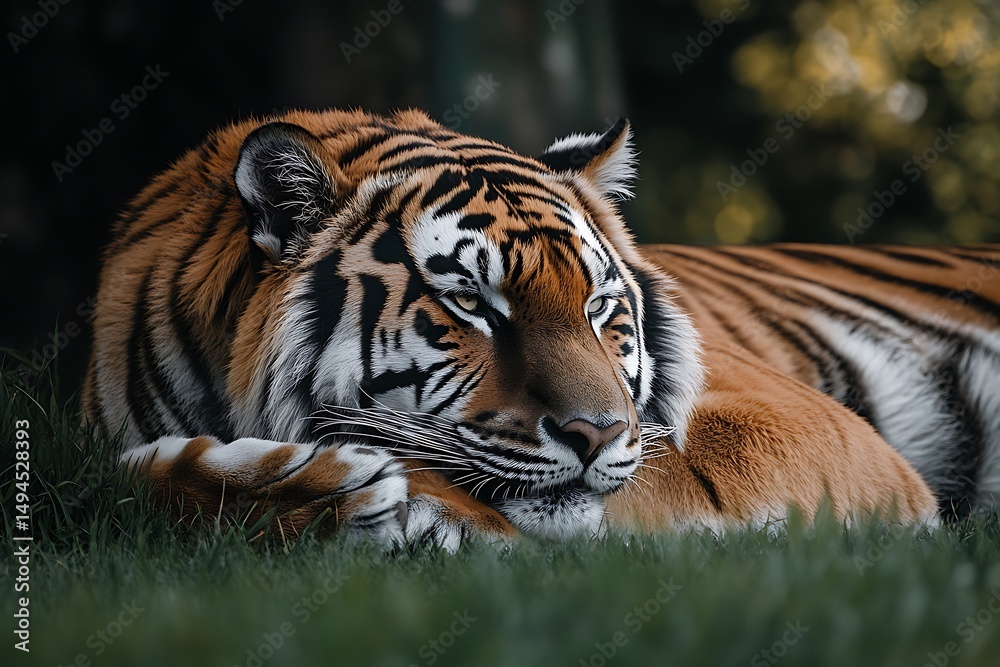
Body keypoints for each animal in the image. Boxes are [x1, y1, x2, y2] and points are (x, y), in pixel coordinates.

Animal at [82, 108, 999, 550]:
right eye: (472, 304)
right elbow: (127, 479)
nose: (594, 434)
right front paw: (321, 493)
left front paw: (372, 501)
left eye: (598, 308)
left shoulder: (797, 423)